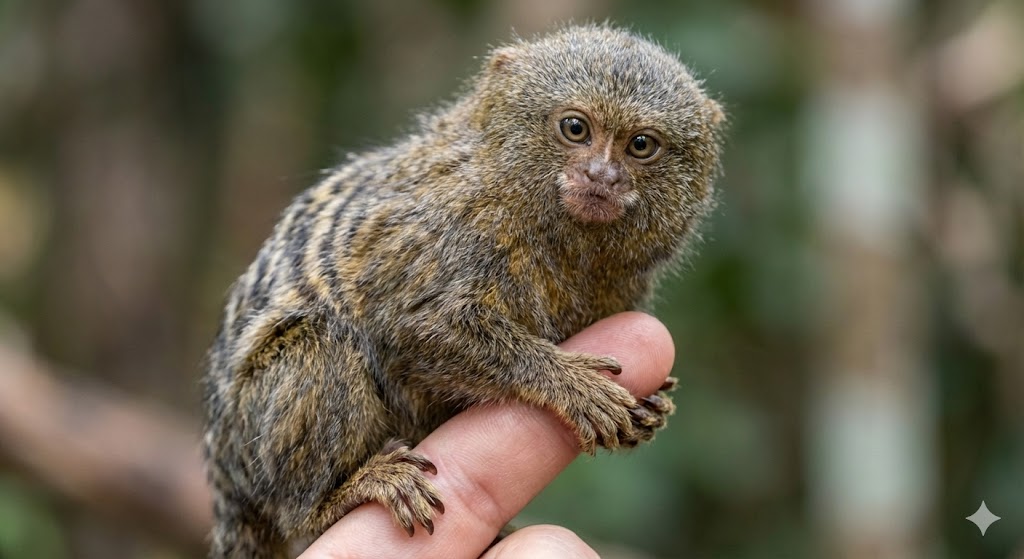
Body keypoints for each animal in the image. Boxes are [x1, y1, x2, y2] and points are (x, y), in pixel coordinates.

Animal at [202, 24, 723, 558]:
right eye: (576, 129)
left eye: (640, 144)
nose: (602, 176)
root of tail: (224, 473)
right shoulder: (451, 225)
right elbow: (411, 325)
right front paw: (572, 385)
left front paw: (652, 405)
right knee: (317, 346)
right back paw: (336, 497)